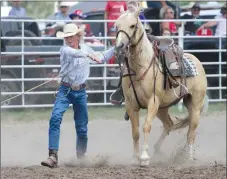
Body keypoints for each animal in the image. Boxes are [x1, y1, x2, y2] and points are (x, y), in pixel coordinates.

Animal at [115, 9, 207, 166]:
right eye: (117, 25)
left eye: (132, 25)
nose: (119, 46)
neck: (140, 67)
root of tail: (196, 60)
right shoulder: (131, 104)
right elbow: (135, 132)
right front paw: (135, 158)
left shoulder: (152, 102)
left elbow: (146, 126)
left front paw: (144, 157)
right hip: (162, 108)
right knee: (169, 124)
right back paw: (158, 150)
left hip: (195, 105)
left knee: (191, 132)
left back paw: (188, 158)